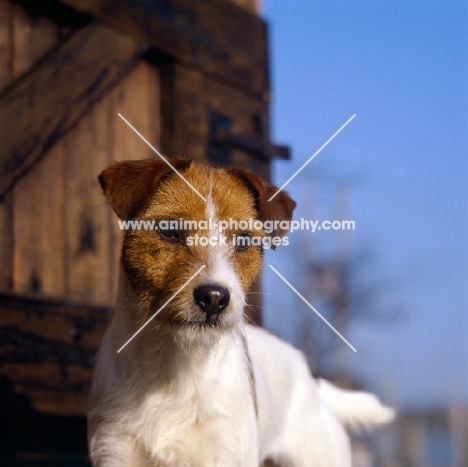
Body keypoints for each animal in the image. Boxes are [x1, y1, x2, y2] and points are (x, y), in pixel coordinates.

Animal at [88, 159, 394, 466]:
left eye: (244, 241)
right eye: (170, 230)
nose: (214, 298)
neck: (173, 365)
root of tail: (312, 383)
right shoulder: (113, 450)